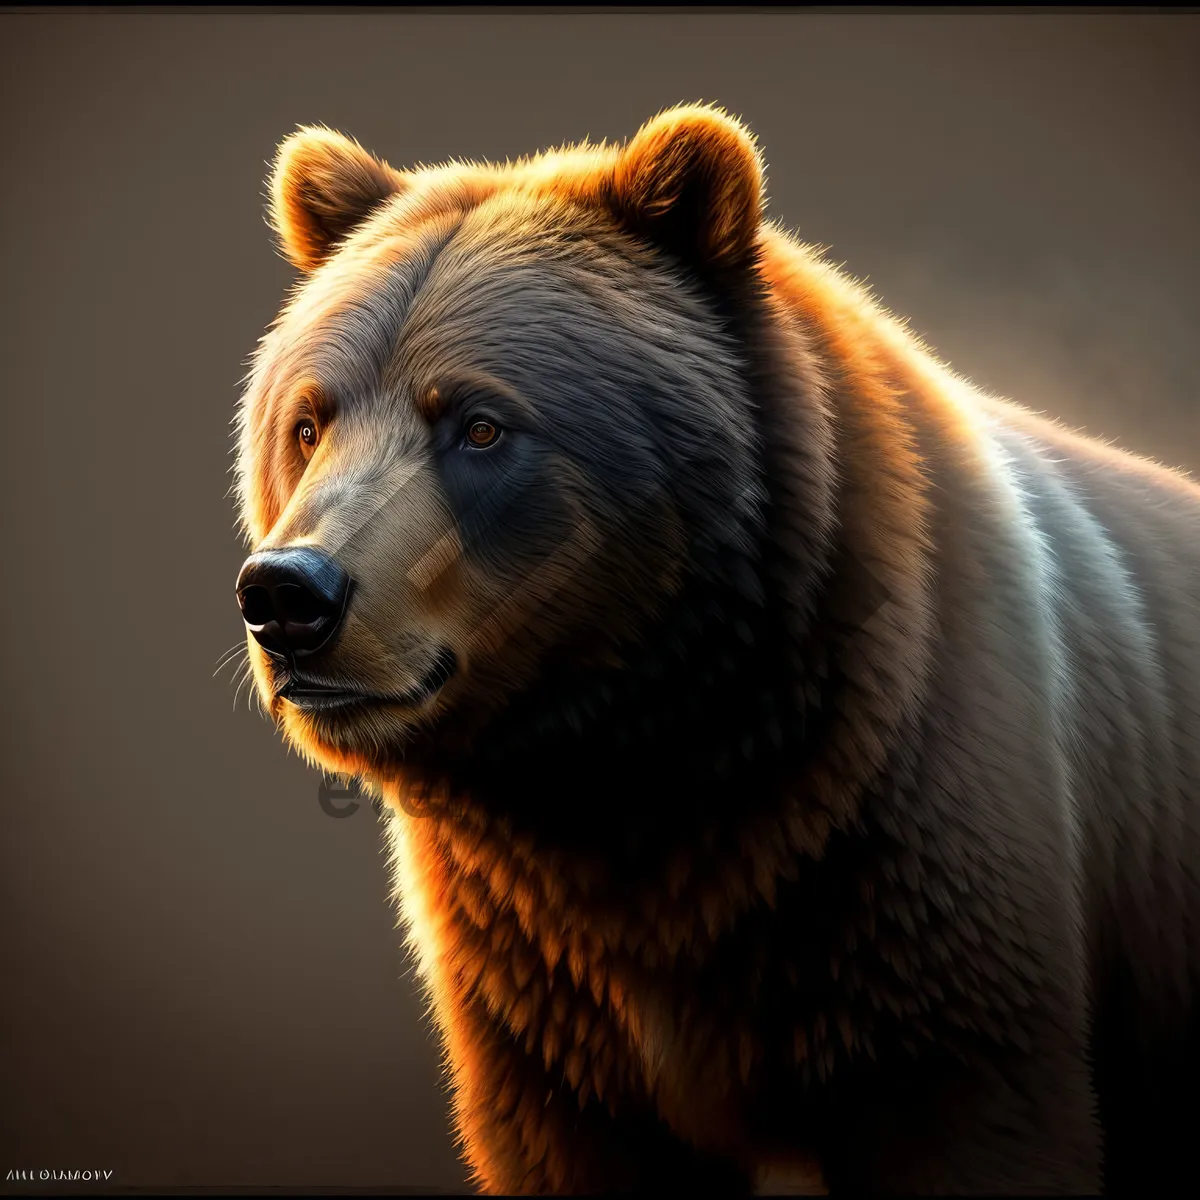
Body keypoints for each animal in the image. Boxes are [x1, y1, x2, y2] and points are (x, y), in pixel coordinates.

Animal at [234, 108, 1200, 1195]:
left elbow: (973, 1111)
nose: (290, 594)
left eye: (479, 423)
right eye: (309, 421)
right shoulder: (539, 993)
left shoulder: (913, 865)